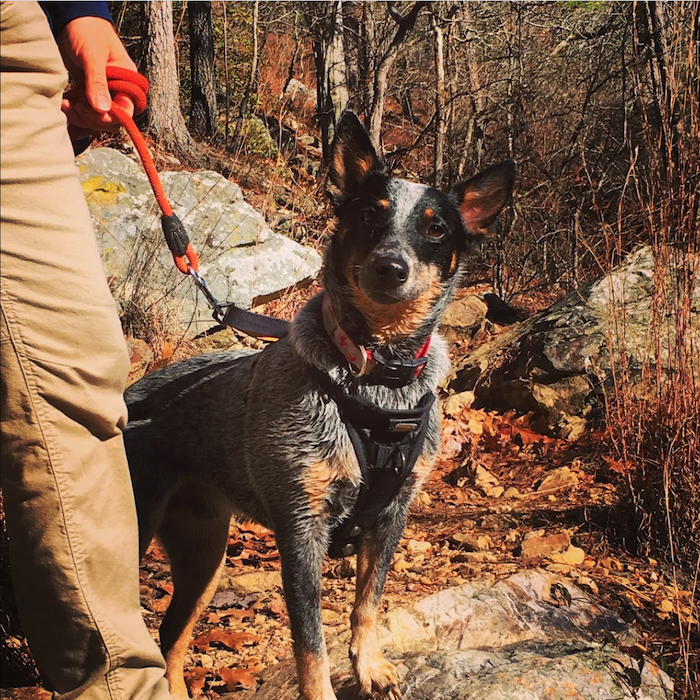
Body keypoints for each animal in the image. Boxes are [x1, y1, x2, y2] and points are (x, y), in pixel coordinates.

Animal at [124, 112, 516, 696]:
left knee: (170, 639)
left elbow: (367, 605)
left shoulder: (390, 516)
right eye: (369, 214)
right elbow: (311, 644)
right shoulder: (301, 527)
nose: (391, 266)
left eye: (436, 228)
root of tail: (129, 395)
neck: (379, 375)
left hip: (205, 553)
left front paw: (370, 666)